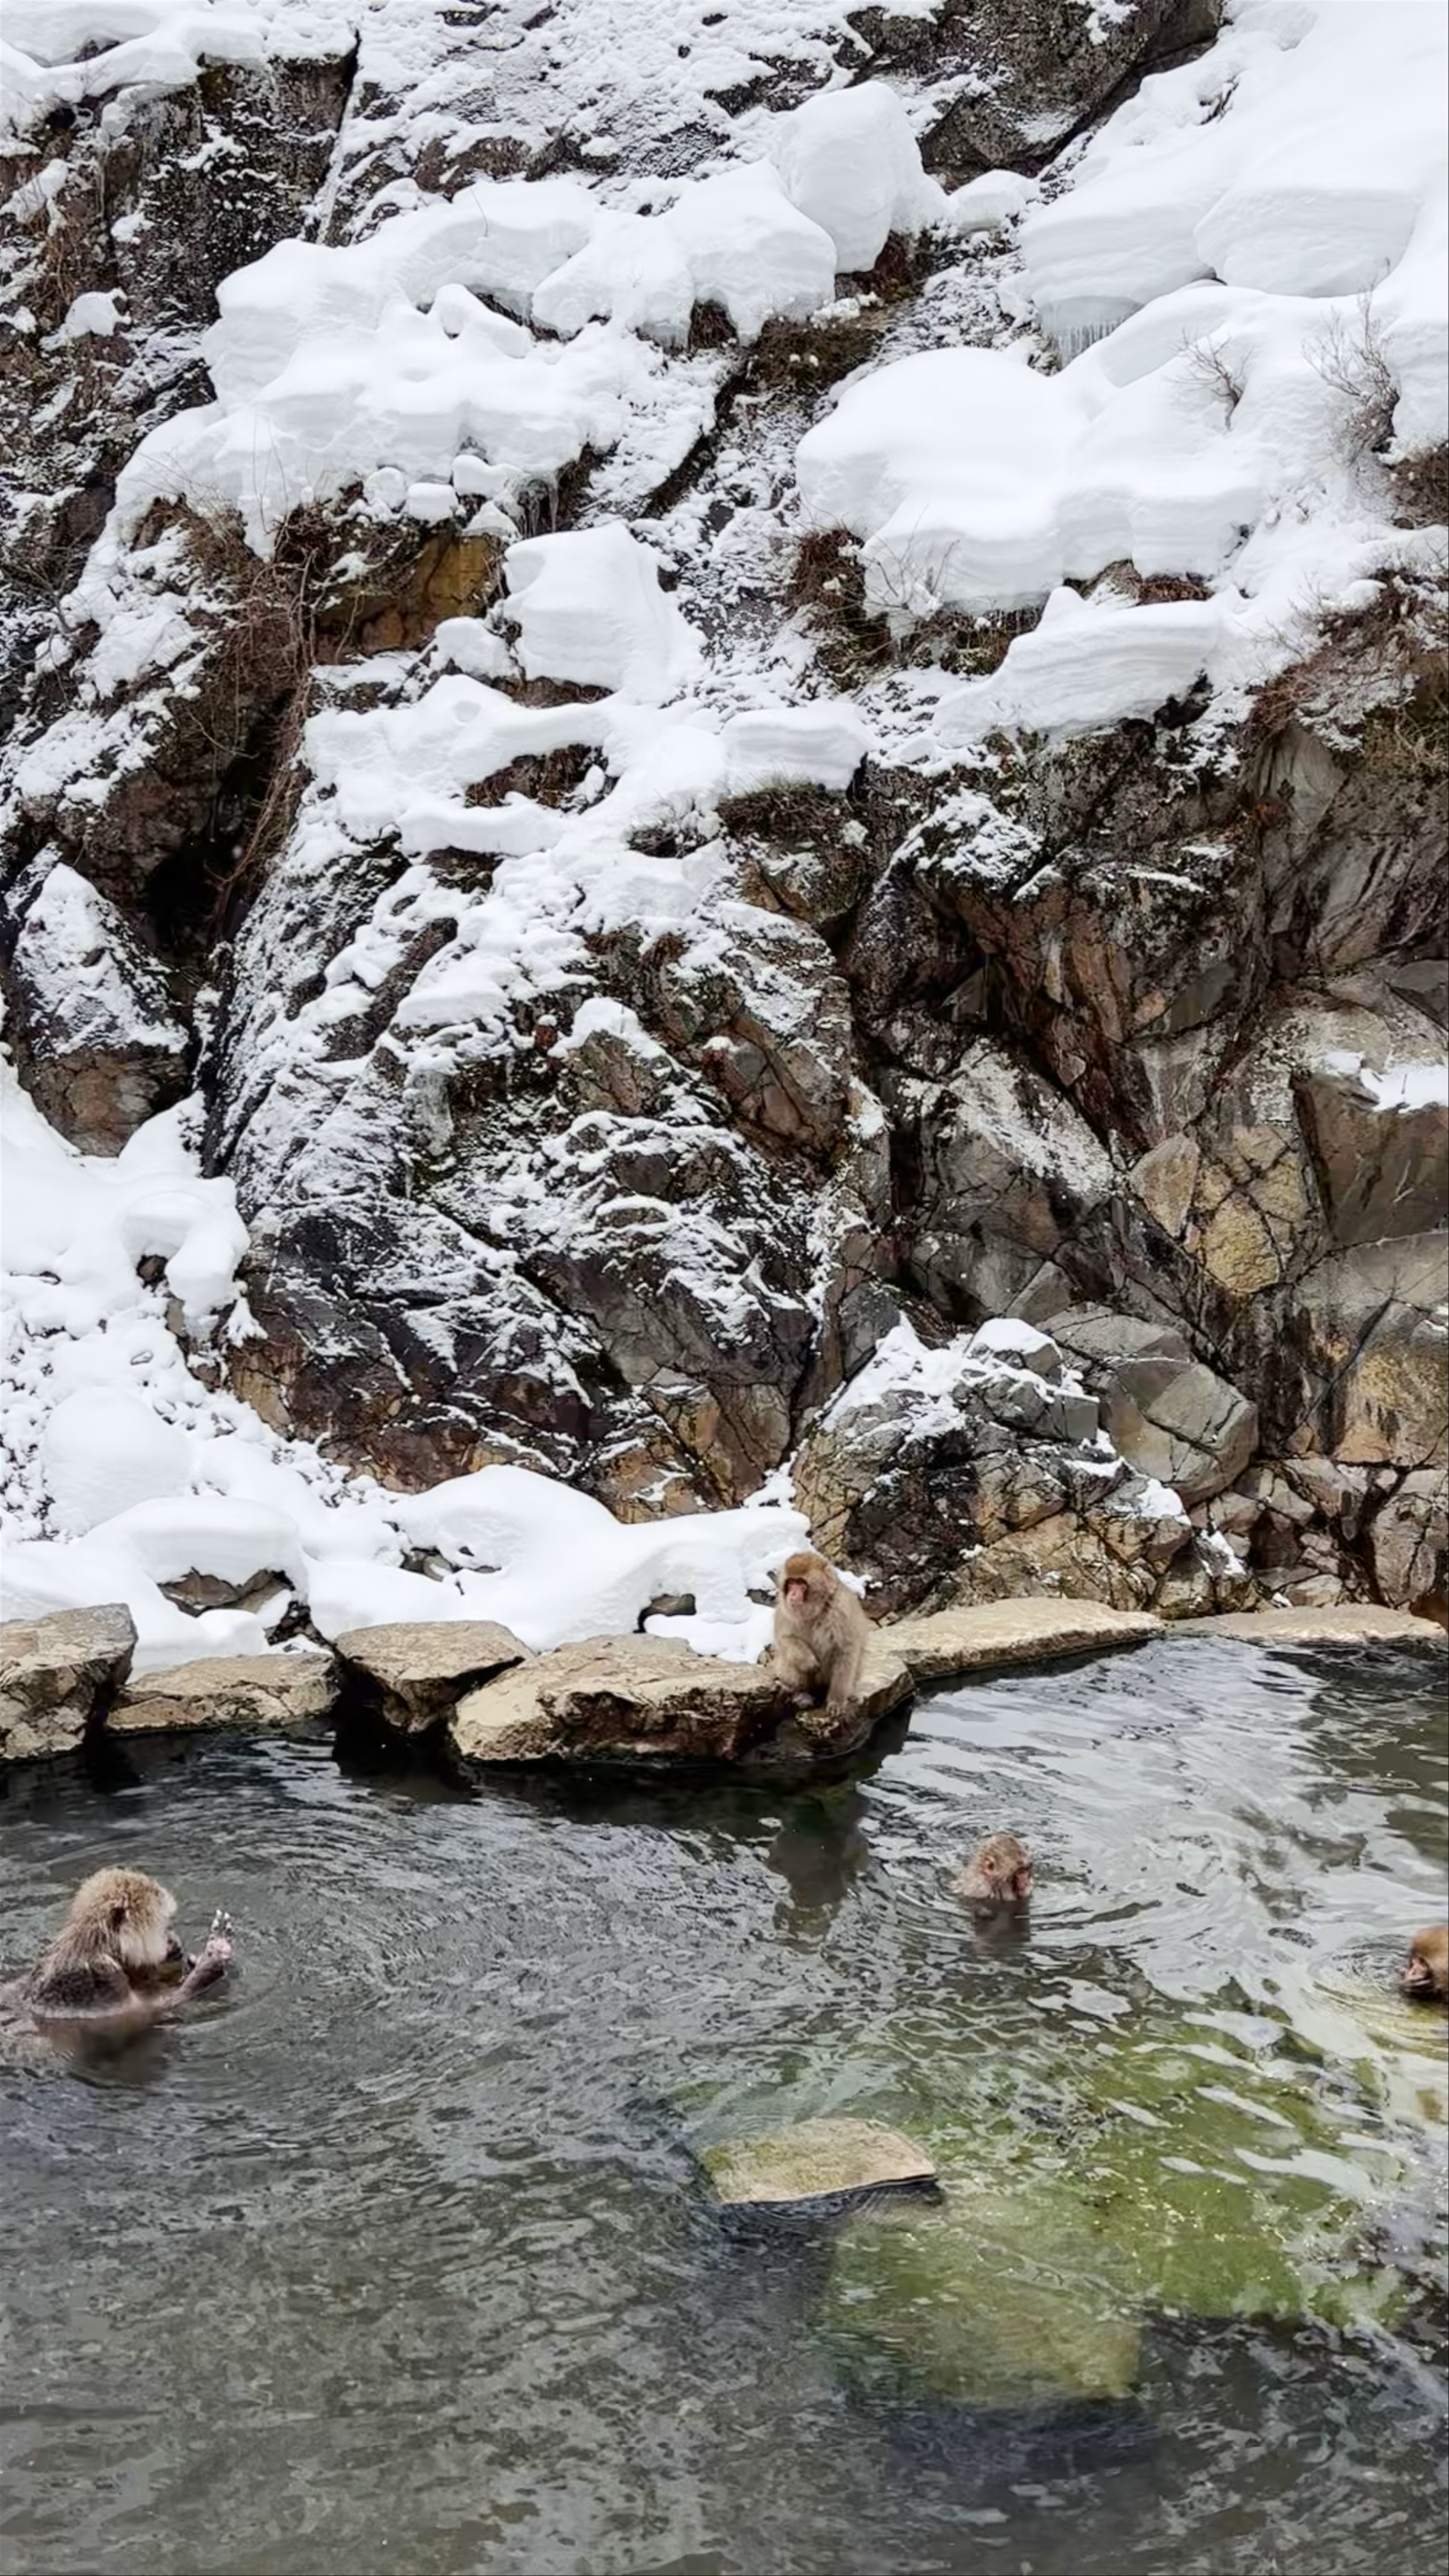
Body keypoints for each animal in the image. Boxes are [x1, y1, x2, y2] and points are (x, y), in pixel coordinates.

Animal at [770, 1550, 871, 1716]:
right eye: (791, 1583)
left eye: (801, 1583)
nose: (792, 1595)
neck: (816, 1611)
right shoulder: (784, 1611)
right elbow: (786, 1639)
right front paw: (809, 1662)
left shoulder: (842, 1610)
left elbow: (846, 1651)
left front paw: (837, 1701)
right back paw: (800, 1693)